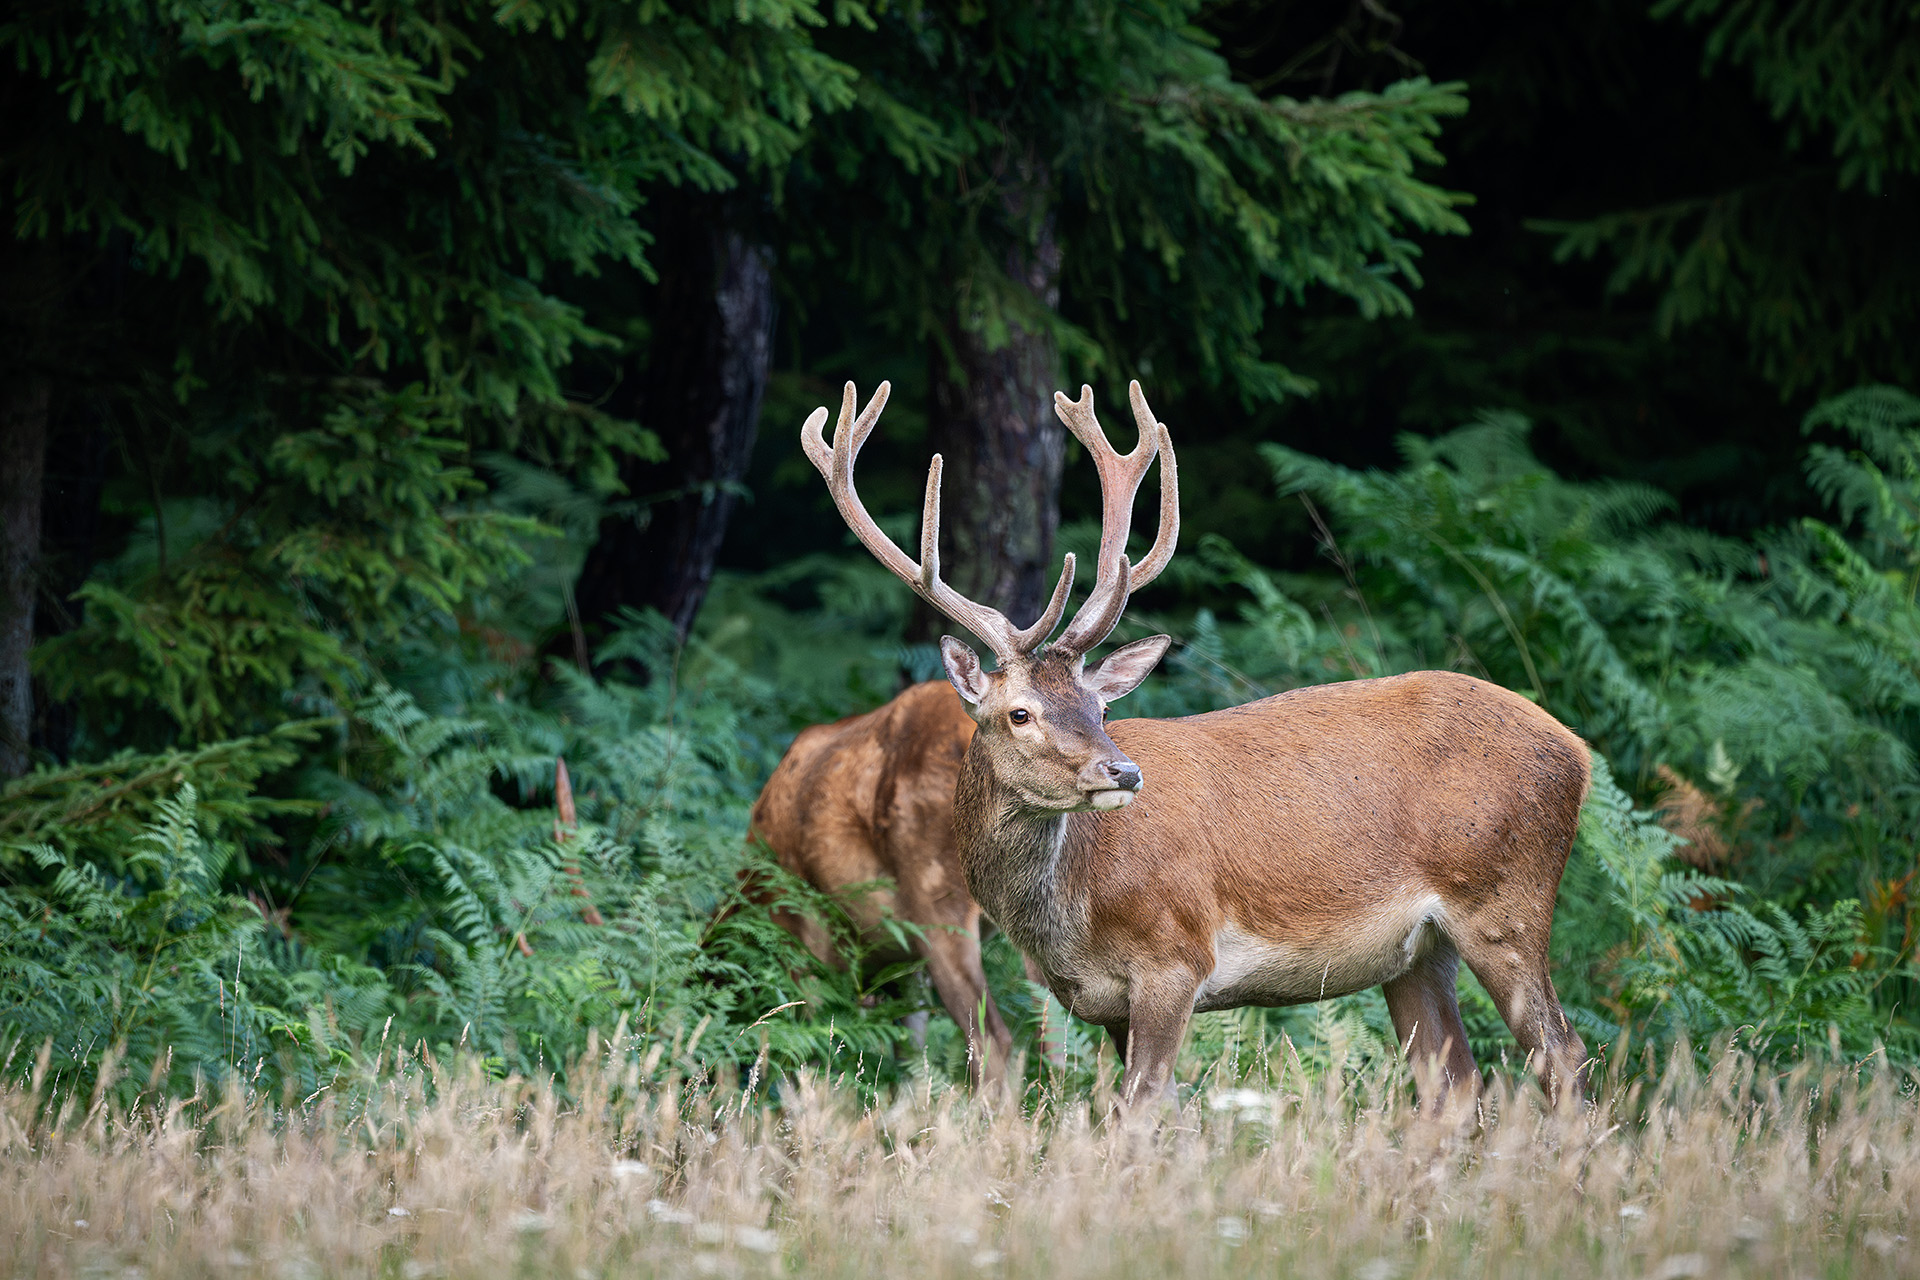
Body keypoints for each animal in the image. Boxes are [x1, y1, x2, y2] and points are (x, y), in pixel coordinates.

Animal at [749, 679, 1056, 1088]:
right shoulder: (906, 965)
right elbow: (910, 1047)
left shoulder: (802, 935)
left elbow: (805, 1045)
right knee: (1055, 1031)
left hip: (938, 904)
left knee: (993, 1039)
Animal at [800, 379, 1593, 1110]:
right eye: (1020, 713)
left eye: (1099, 707)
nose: (1122, 771)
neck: (1070, 915)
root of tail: (1579, 752)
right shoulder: (1105, 1002)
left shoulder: (1174, 957)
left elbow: (1144, 1107)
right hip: (1418, 955)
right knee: (1455, 1082)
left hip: (1505, 901)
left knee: (1565, 1054)